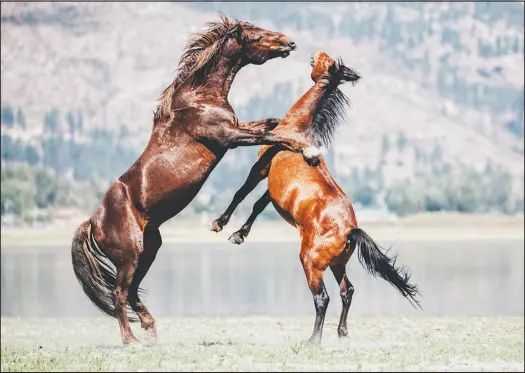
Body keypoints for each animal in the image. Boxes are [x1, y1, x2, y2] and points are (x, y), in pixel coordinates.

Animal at [70, 16, 324, 344]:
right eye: (256, 35)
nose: (289, 43)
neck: (198, 99)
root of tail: (93, 222)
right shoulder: (230, 137)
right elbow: (276, 135)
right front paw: (310, 151)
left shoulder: (238, 128)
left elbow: (271, 124)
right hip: (130, 255)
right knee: (118, 293)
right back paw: (131, 340)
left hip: (149, 249)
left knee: (132, 291)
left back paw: (150, 328)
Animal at [211, 50, 420, 344]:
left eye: (328, 62)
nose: (315, 54)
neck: (296, 129)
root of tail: (350, 230)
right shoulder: (273, 189)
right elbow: (258, 204)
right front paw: (239, 234)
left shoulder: (260, 169)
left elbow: (242, 194)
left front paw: (221, 223)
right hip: (337, 265)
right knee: (348, 290)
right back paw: (341, 332)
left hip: (312, 264)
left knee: (323, 297)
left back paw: (313, 341)